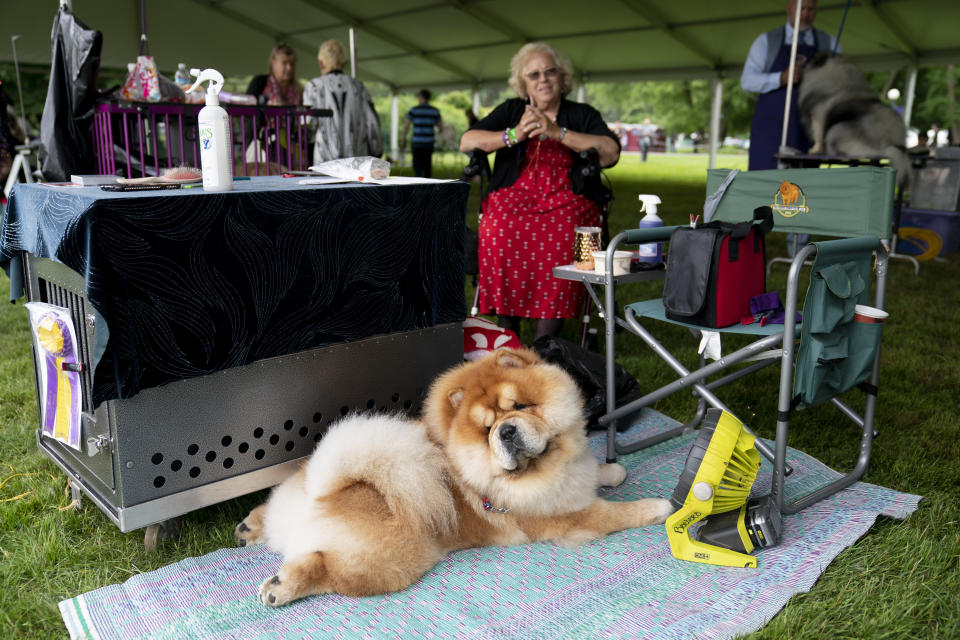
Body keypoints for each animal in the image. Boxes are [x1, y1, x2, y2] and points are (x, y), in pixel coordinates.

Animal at [235, 348, 672, 608]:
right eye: (487, 429)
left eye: (520, 407)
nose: (506, 431)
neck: (547, 465)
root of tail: (326, 491)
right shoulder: (567, 518)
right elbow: (615, 513)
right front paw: (657, 506)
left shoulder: (575, 474)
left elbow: (596, 470)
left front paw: (613, 469)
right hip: (391, 561)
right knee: (325, 568)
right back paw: (280, 587)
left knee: (269, 509)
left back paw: (248, 529)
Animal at [800, 51, 912, 189]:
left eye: (813, 60)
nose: (804, 62)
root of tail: (893, 139)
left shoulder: (817, 117)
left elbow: (818, 136)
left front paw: (815, 150)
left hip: (836, 131)